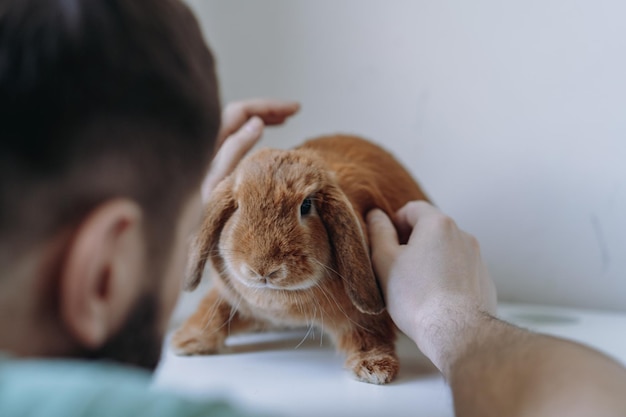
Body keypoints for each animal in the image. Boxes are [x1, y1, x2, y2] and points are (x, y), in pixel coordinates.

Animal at [171, 134, 428, 384]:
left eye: (306, 205)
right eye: (238, 206)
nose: (263, 269)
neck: (280, 300)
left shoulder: (361, 317)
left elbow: (370, 332)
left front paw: (374, 368)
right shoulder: (230, 298)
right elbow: (213, 311)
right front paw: (187, 341)